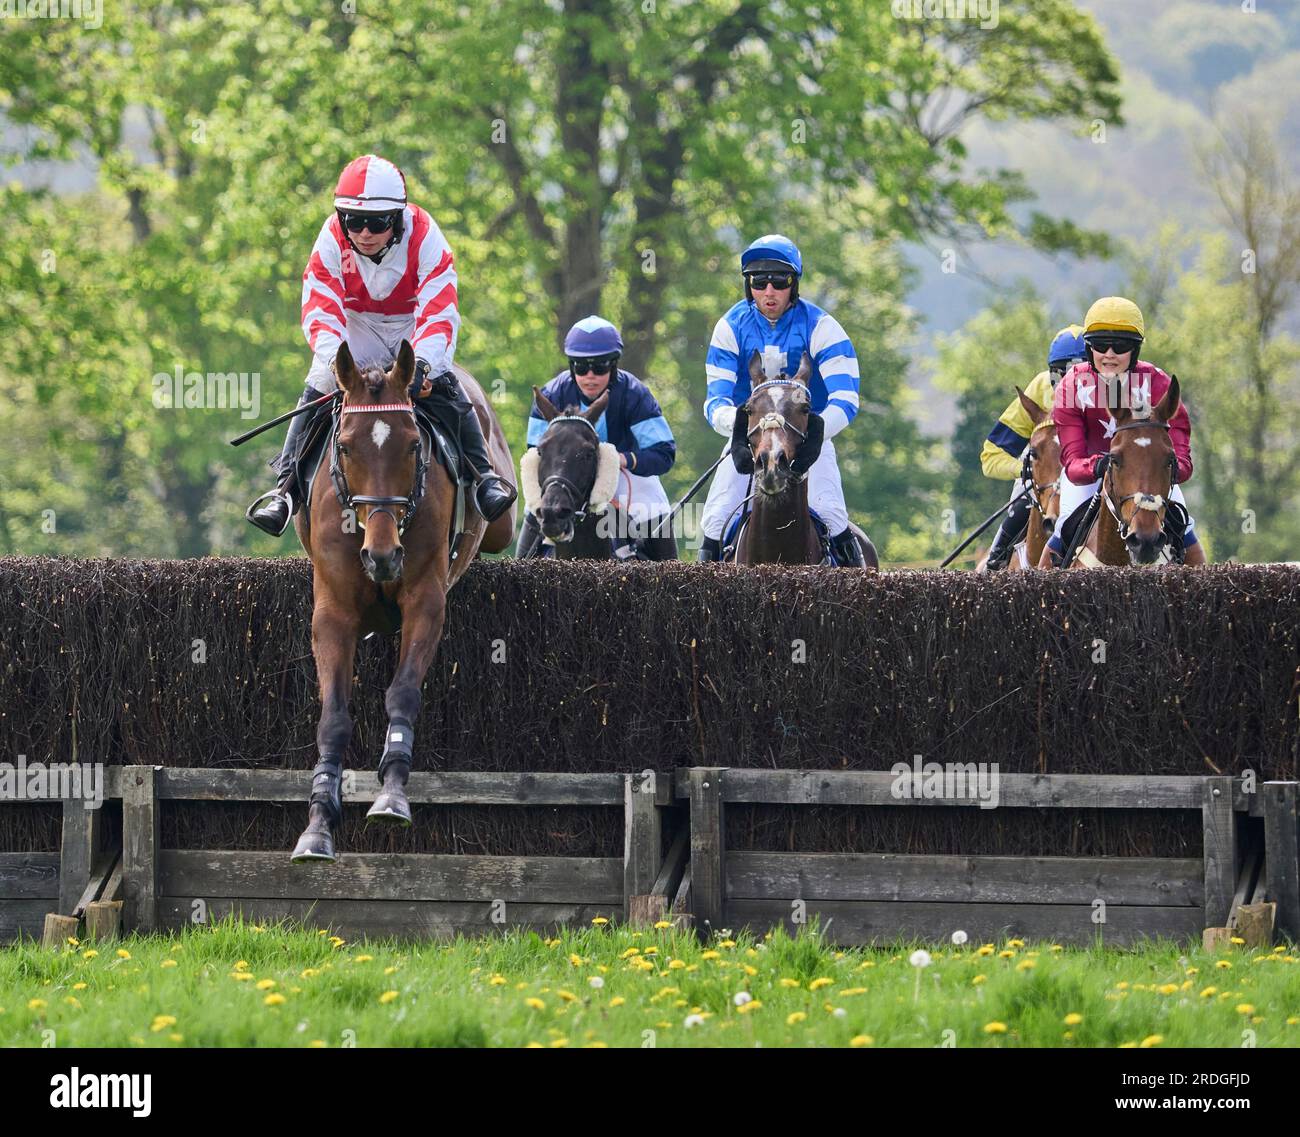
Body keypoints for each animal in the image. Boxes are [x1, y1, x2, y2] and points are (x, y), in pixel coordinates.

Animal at [292, 337, 514, 862]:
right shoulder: (332, 611)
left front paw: (391, 795)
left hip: (501, 522)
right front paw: (318, 824)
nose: (383, 555)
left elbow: (403, 692)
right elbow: (333, 716)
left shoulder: (425, 600)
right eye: (345, 447)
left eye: (414, 445)